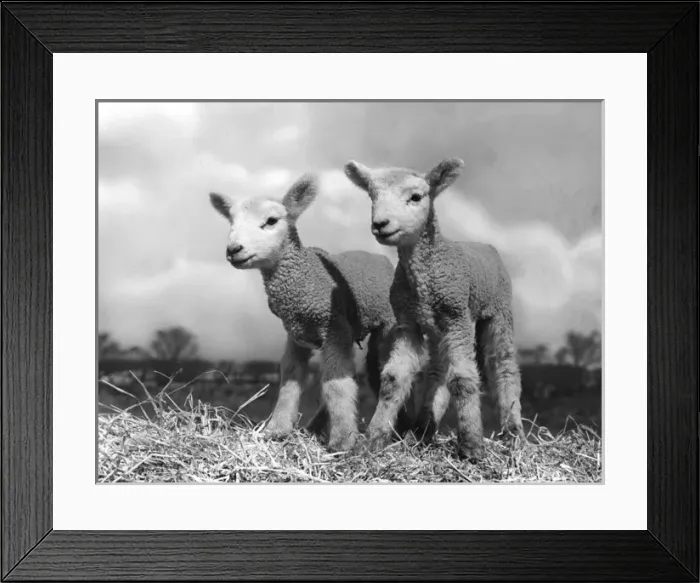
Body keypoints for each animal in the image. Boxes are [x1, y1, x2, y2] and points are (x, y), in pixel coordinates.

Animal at [209, 173, 414, 452]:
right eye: (231, 222)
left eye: (271, 221)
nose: (233, 250)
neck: (303, 280)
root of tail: (379, 258)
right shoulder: (296, 336)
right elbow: (290, 378)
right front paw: (277, 430)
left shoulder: (333, 327)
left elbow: (336, 383)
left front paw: (342, 441)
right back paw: (316, 427)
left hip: (387, 325)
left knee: (385, 373)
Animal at [343, 158, 525, 461]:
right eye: (372, 196)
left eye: (416, 197)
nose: (380, 224)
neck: (425, 280)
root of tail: (485, 244)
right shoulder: (408, 322)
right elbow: (393, 378)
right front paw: (373, 440)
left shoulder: (458, 316)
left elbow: (464, 379)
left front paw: (472, 447)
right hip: (440, 328)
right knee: (439, 370)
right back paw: (423, 429)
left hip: (498, 310)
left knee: (503, 364)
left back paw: (514, 432)